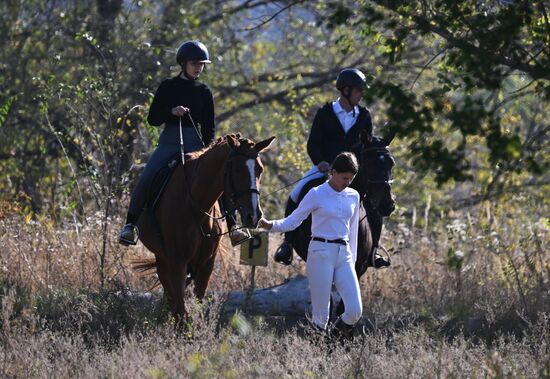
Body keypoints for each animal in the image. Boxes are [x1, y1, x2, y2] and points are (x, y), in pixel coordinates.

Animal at [135, 135, 276, 326]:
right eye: (237, 169)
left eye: (260, 169)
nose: (253, 216)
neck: (196, 205)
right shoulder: (177, 261)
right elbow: (182, 310)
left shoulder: (206, 262)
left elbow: (197, 304)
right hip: (162, 258)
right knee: (170, 294)